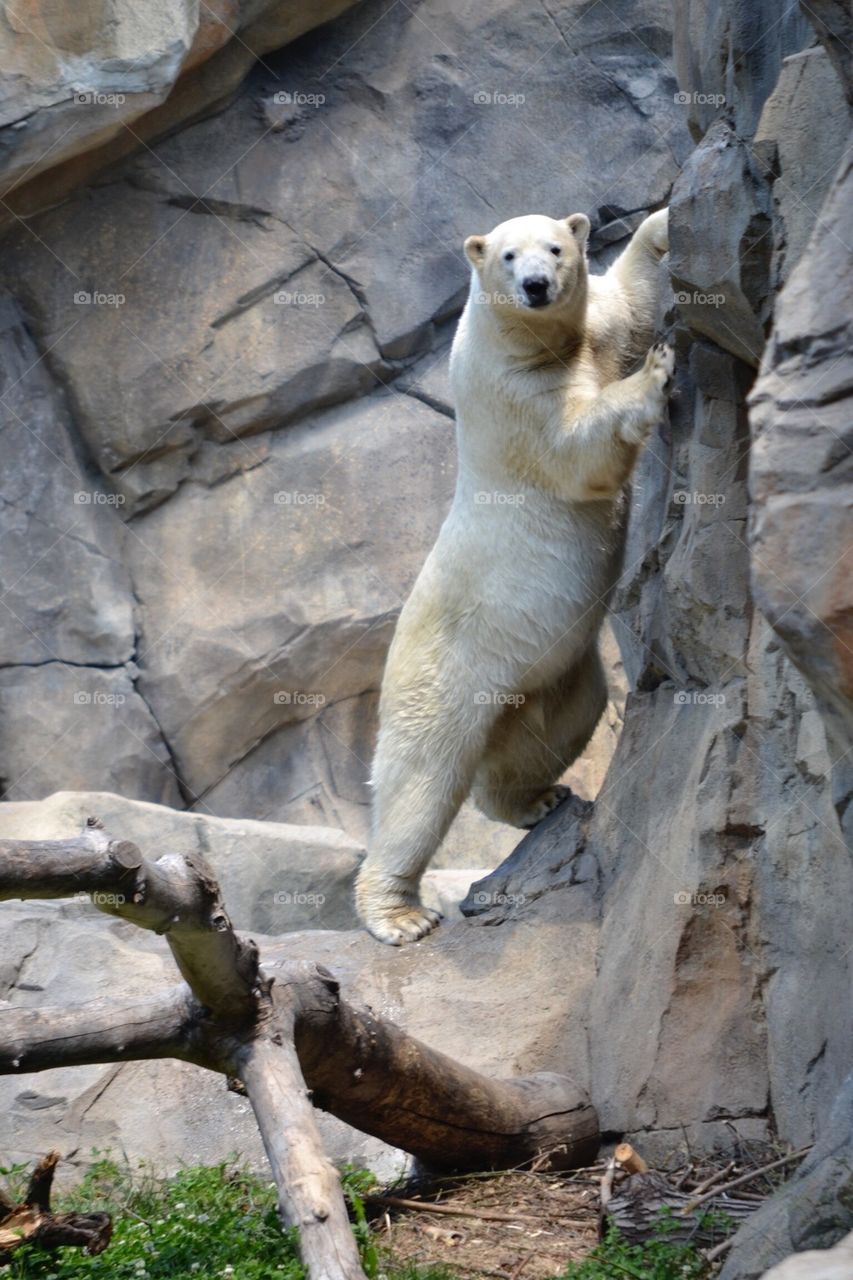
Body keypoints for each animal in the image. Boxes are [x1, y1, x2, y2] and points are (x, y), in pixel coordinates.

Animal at [355, 207, 673, 945]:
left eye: (554, 248)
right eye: (506, 256)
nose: (535, 285)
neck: (521, 342)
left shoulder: (589, 328)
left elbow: (628, 300)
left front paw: (665, 224)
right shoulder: (517, 397)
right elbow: (578, 447)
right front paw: (653, 374)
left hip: (545, 677)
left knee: (548, 733)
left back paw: (535, 800)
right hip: (442, 676)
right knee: (419, 784)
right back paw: (399, 915)